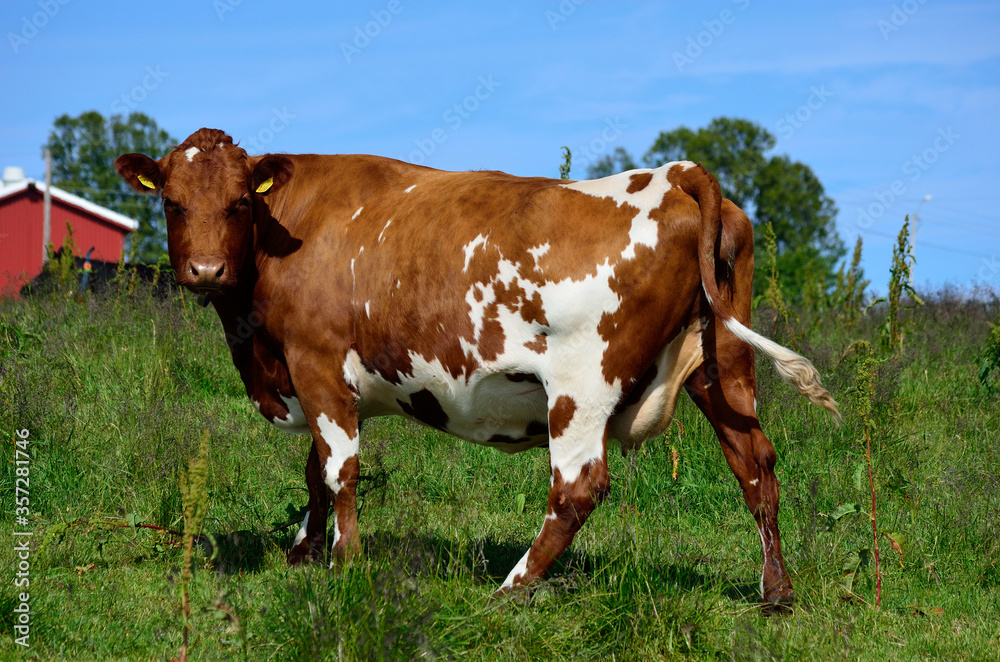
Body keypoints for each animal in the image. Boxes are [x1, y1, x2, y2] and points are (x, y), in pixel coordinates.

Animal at [115, 127, 836, 608]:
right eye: (173, 202)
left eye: (239, 202)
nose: (206, 270)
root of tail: (675, 173)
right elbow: (315, 471)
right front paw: (301, 554)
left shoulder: (317, 362)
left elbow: (339, 469)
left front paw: (346, 564)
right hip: (724, 366)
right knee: (756, 464)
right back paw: (777, 591)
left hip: (581, 385)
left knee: (578, 488)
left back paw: (510, 589)